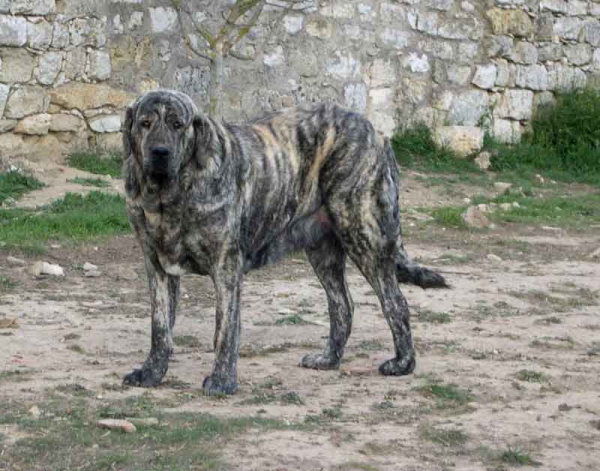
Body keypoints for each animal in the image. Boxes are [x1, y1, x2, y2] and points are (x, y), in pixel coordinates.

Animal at [122, 90, 448, 396]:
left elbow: (225, 329)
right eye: (145, 123)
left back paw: (403, 363)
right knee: (342, 305)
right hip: (323, 250)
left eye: (178, 124)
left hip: (363, 235)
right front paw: (151, 373)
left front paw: (222, 380)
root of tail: (376, 132)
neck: (170, 197)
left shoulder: (226, 267)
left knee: (395, 303)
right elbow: (160, 327)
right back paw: (329, 359)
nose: (159, 152)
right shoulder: (158, 268)